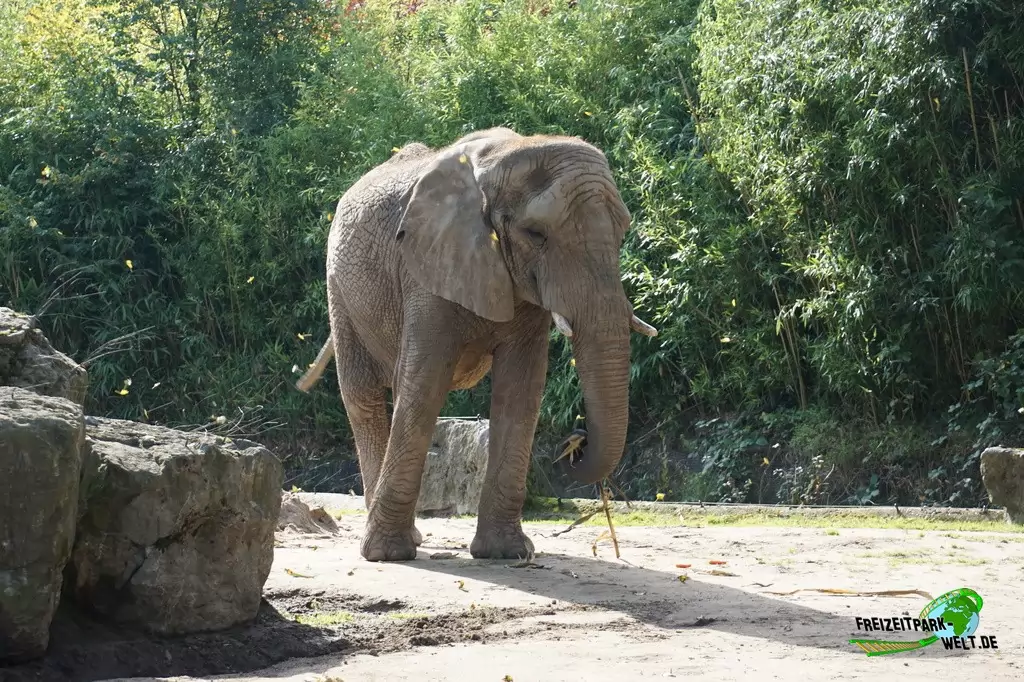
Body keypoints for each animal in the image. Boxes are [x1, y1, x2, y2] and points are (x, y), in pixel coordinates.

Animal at [296, 127, 657, 562]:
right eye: (536, 234)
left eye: (622, 232)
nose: (575, 442)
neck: (505, 158)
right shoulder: (427, 263)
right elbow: (426, 383)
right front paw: (388, 554)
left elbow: (520, 388)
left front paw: (505, 553)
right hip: (341, 292)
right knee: (363, 396)